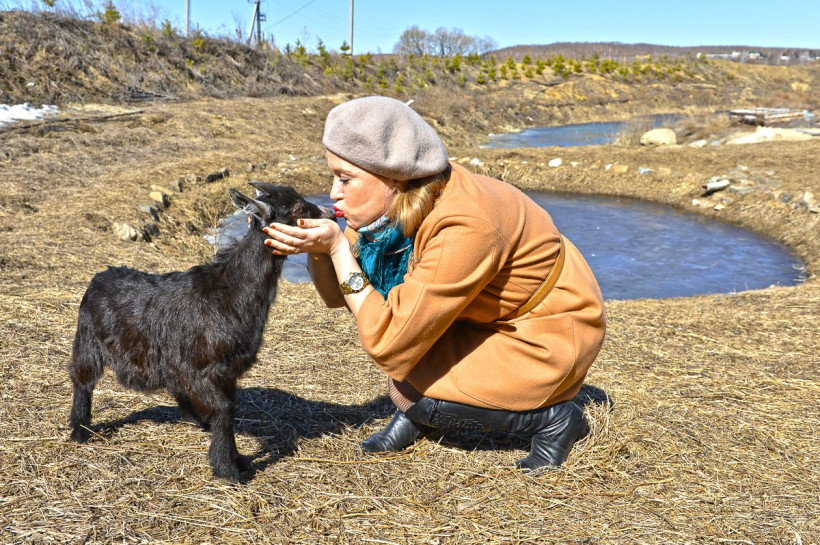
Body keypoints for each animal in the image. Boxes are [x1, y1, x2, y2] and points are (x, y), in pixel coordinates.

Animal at [68, 182, 333, 481]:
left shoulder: (226, 372)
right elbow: (224, 411)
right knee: (82, 379)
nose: (329, 214)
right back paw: (80, 431)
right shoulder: (199, 368)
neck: (229, 293)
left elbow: (229, 410)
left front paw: (237, 459)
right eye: (299, 209)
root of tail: (97, 278)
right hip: (88, 341)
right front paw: (227, 469)